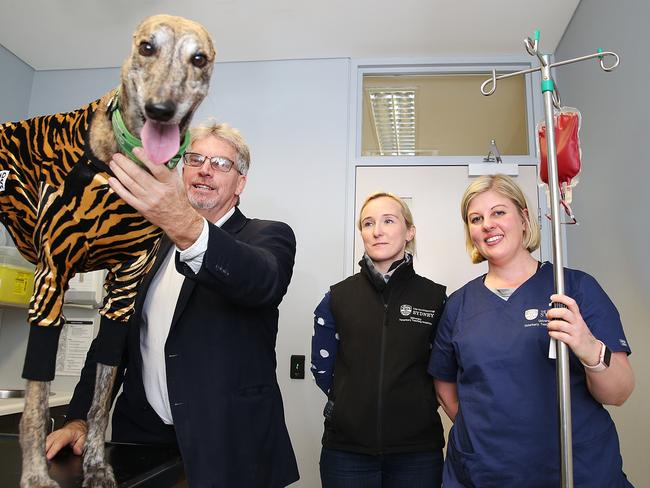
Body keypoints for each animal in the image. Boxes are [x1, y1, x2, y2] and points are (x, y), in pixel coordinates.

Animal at [0, 13, 215, 486]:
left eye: (199, 59)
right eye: (147, 47)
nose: (161, 110)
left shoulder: (123, 293)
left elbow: (101, 396)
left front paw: (97, 464)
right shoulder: (51, 277)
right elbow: (37, 396)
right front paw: (36, 474)